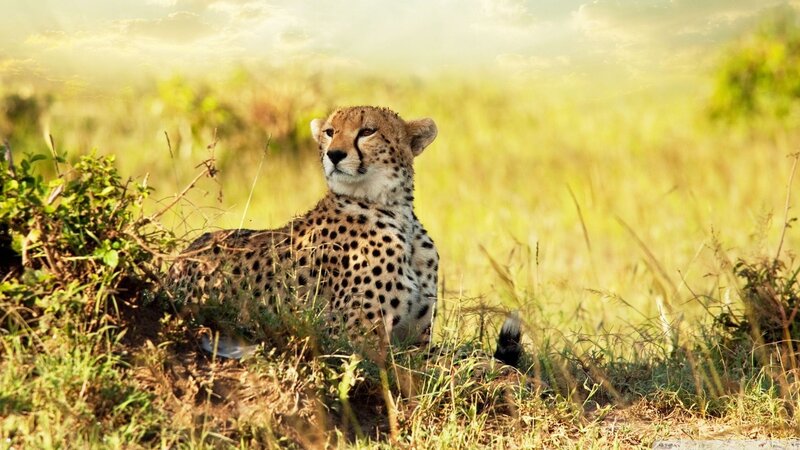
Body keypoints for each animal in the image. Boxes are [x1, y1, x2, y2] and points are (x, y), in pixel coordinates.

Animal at [166, 106, 441, 362]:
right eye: (330, 132)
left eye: (367, 131)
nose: (334, 154)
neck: (395, 211)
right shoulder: (352, 340)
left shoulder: (417, 338)